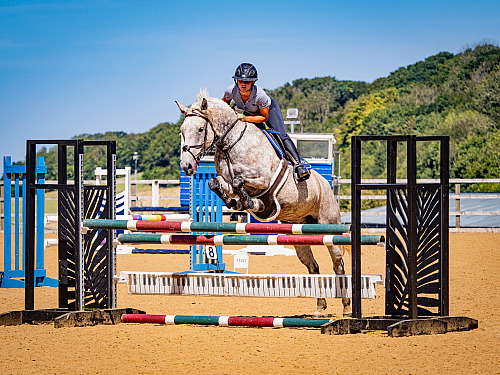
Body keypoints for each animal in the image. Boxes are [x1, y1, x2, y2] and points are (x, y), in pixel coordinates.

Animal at [178, 89, 350, 316]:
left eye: (200, 129)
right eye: (182, 131)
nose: (186, 166)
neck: (231, 144)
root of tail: (327, 186)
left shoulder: (263, 179)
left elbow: (239, 181)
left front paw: (251, 203)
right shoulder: (225, 180)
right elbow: (216, 183)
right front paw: (239, 203)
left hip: (330, 228)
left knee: (338, 264)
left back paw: (347, 308)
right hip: (298, 235)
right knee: (313, 266)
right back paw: (320, 308)